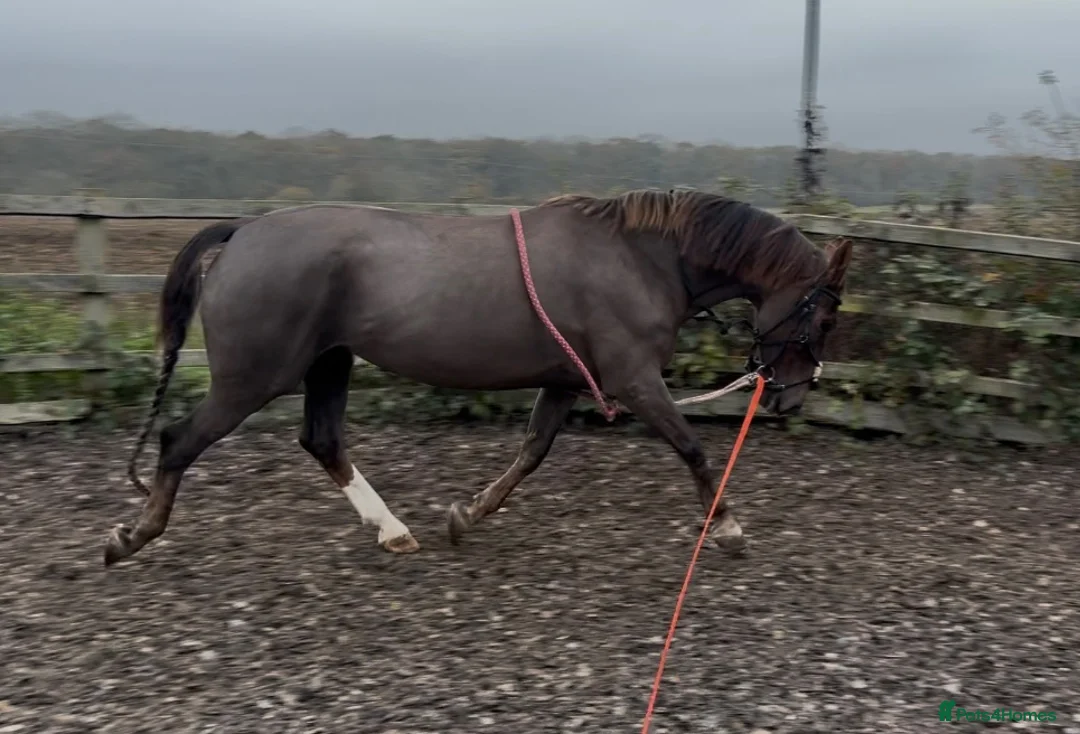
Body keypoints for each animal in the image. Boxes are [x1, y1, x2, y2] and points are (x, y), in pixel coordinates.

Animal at [104, 188, 852, 567]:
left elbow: (532, 452)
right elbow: (694, 449)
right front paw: (727, 530)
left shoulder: (570, 379)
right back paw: (130, 537)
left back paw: (393, 531)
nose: (791, 397)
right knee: (178, 440)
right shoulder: (634, 379)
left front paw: (466, 515)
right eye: (823, 313)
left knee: (322, 441)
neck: (639, 257)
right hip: (255, 377)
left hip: (329, 362)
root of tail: (244, 232)